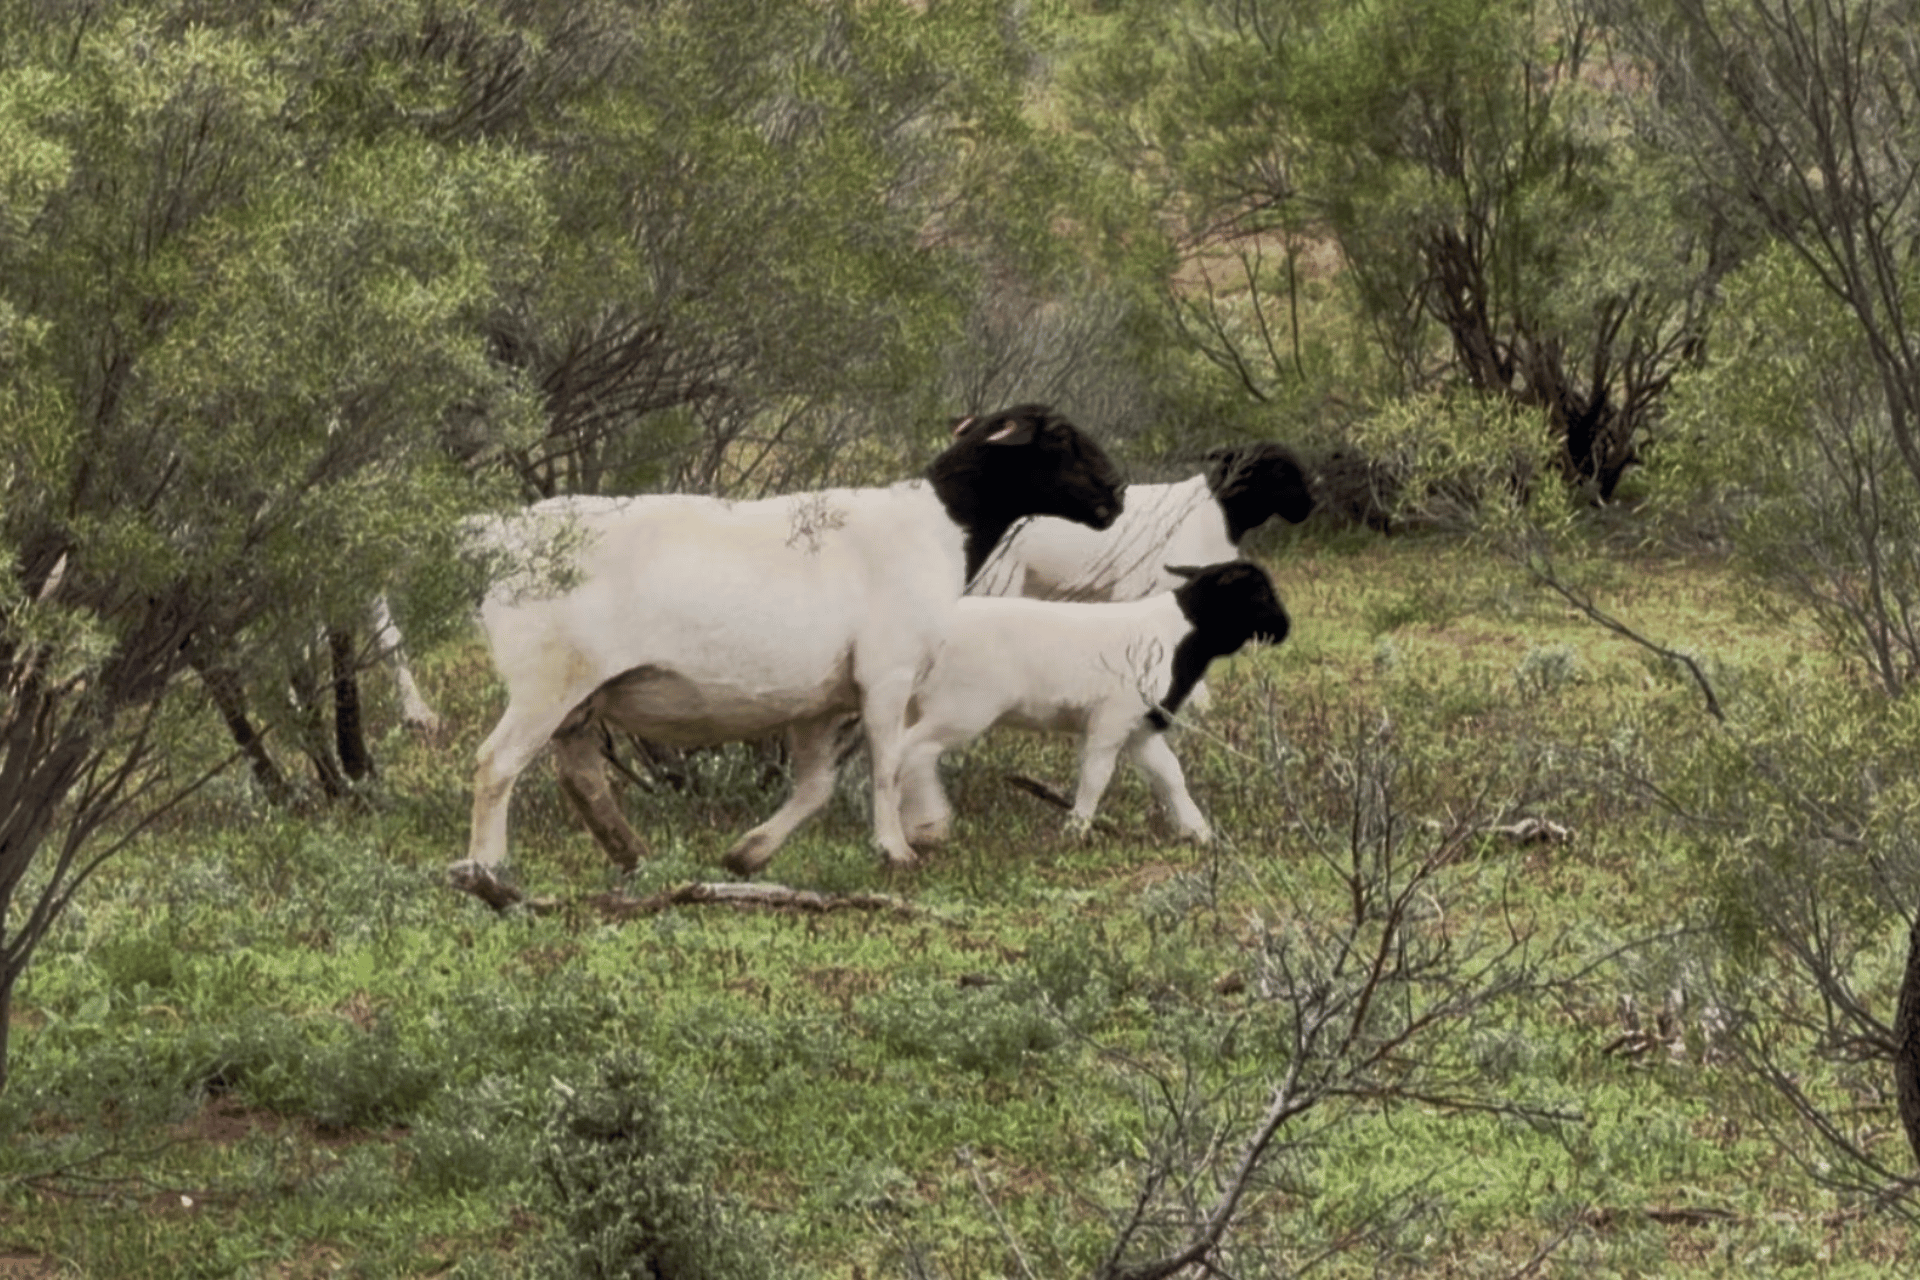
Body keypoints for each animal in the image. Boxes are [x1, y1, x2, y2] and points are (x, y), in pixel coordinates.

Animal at [455, 404, 1125, 880]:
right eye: (1060, 438)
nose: (1116, 495)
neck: (940, 528)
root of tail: (500, 538)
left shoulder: (817, 701)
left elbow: (816, 787)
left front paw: (748, 854)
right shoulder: (887, 673)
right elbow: (886, 766)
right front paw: (896, 849)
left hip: (580, 694)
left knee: (581, 778)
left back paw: (633, 858)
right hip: (549, 676)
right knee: (497, 763)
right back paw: (489, 869)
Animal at [897, 560, 1291, 848]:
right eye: (1259, 591)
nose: (1286, 627)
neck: (1178, 636)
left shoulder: (1141, 729)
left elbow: (1170, 775)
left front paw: (1198, 830)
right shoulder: (1112, 719)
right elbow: (1096, 776)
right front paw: (1076, 828)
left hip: (927, 705)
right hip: (962, 706)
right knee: (911, 751)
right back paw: (927, 824)